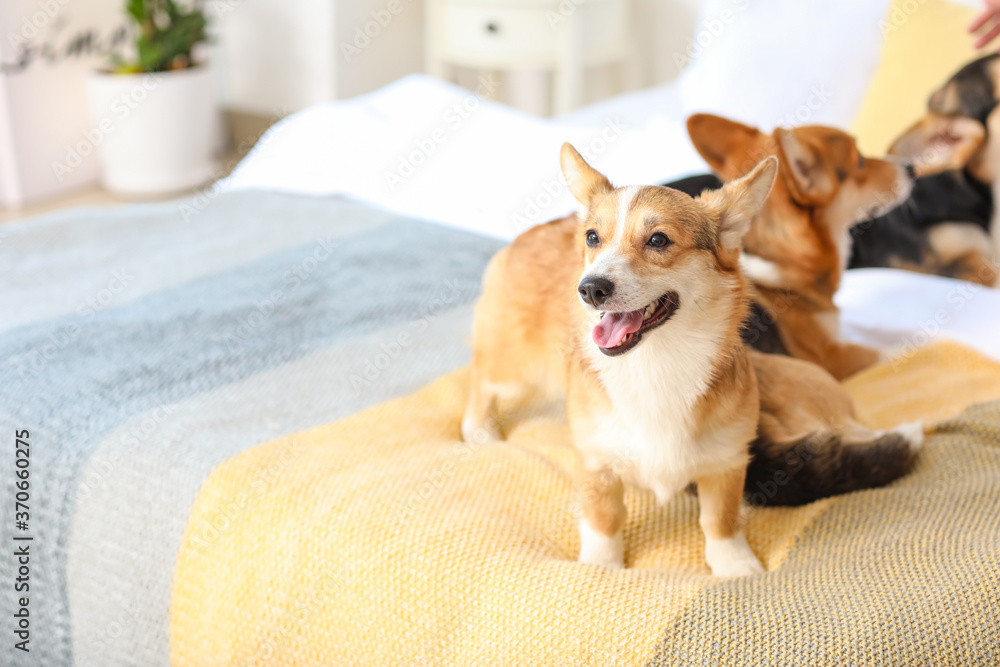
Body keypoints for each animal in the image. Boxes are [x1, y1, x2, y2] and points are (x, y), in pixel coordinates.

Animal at [464, 145, 924, 576]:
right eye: (593, 238)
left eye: (658, 240)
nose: (590, 289)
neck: (655, 362)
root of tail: (533, 231)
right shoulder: (596, 463)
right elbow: (604, 518)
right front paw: (602, 566)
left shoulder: (728, 460)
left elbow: (720, 520)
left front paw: (734, 566)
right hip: (519, 369)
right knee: (481, 379)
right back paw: (478, 429)